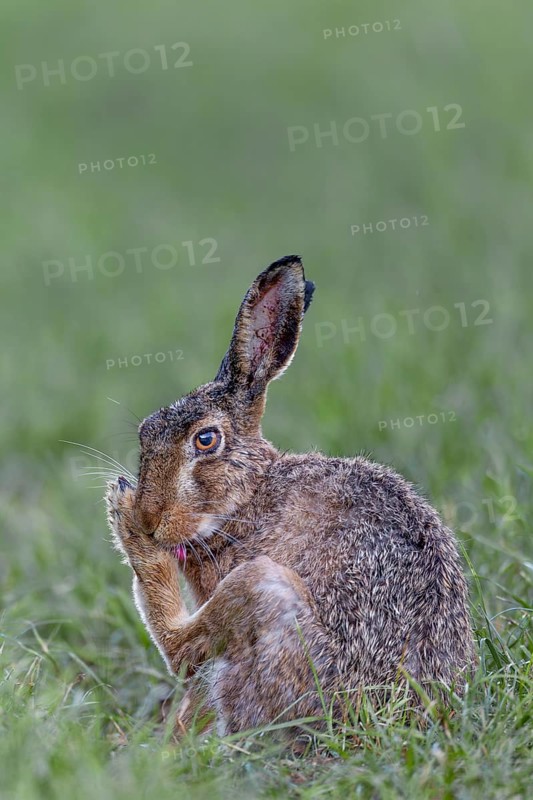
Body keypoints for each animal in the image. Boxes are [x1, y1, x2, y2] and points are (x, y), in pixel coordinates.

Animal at [106, 254, 476, 736]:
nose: (151, 519)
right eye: (145, 433)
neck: (247, 499)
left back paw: (124, 519)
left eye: (206, 440)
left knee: (181, 652)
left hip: (263, 588)